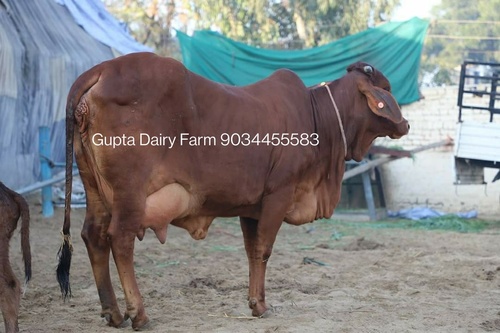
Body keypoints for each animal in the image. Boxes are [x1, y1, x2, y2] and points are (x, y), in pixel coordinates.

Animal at [56, 53, 408, 328]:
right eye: (387, 89)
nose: (404, 124)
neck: (317, 118)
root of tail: (101, 70)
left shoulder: (251, 208)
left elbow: (252, 252)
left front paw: (255, 302)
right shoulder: (279, 195)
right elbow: (264, 251)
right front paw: (261, 306)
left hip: (95, 191)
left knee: (93, 236)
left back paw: (113, 313)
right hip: (129, 195)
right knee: (120, 240)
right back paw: (138, 314)